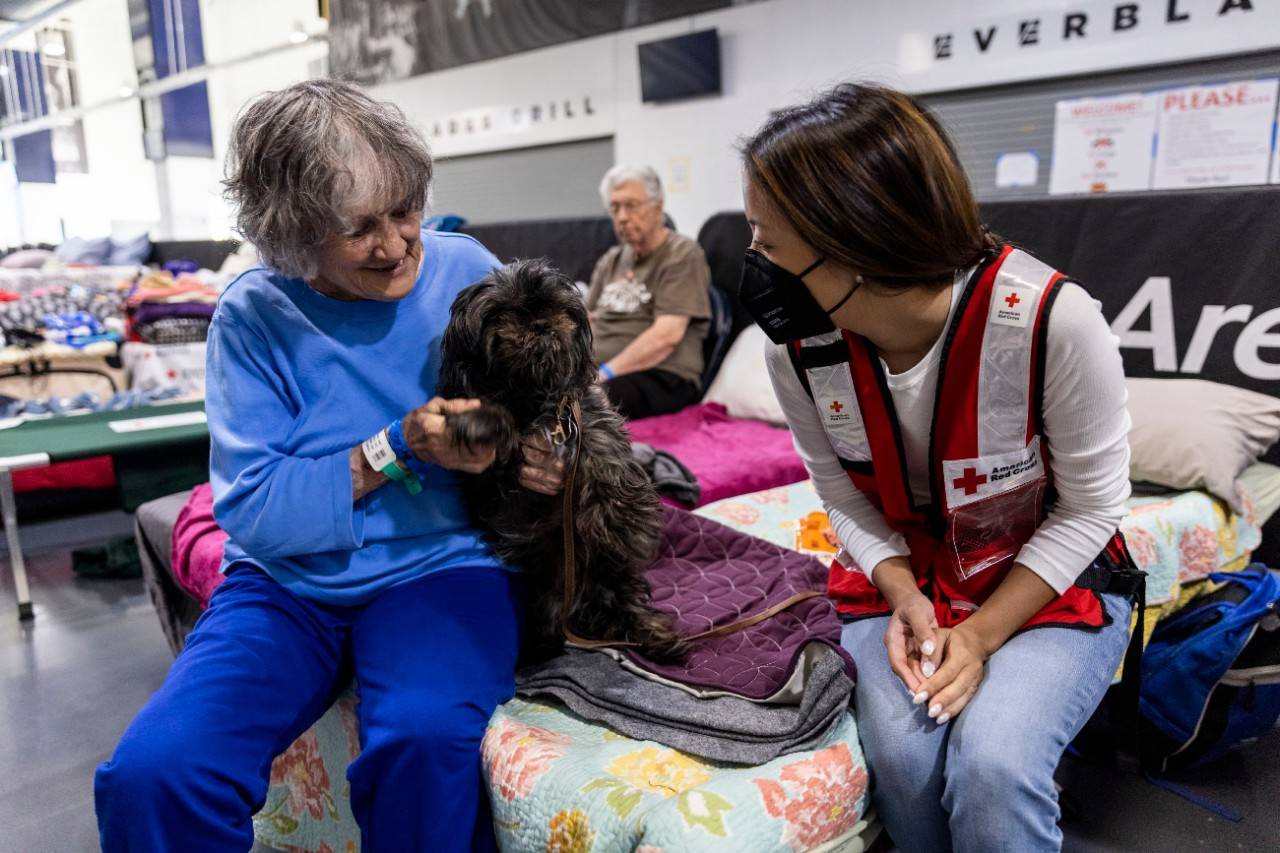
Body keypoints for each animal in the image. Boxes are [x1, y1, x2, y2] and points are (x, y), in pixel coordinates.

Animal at [437, 256, 686, 660]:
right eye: (502, 311)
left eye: (554, 305)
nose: (539, 323)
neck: (534, 397)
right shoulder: (491, 475)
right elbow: (493, 420)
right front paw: (480, 421)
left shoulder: (585, 417)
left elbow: (603, 453)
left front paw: (622, 517)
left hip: (607, 567)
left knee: (622, 604)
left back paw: (655, 636)